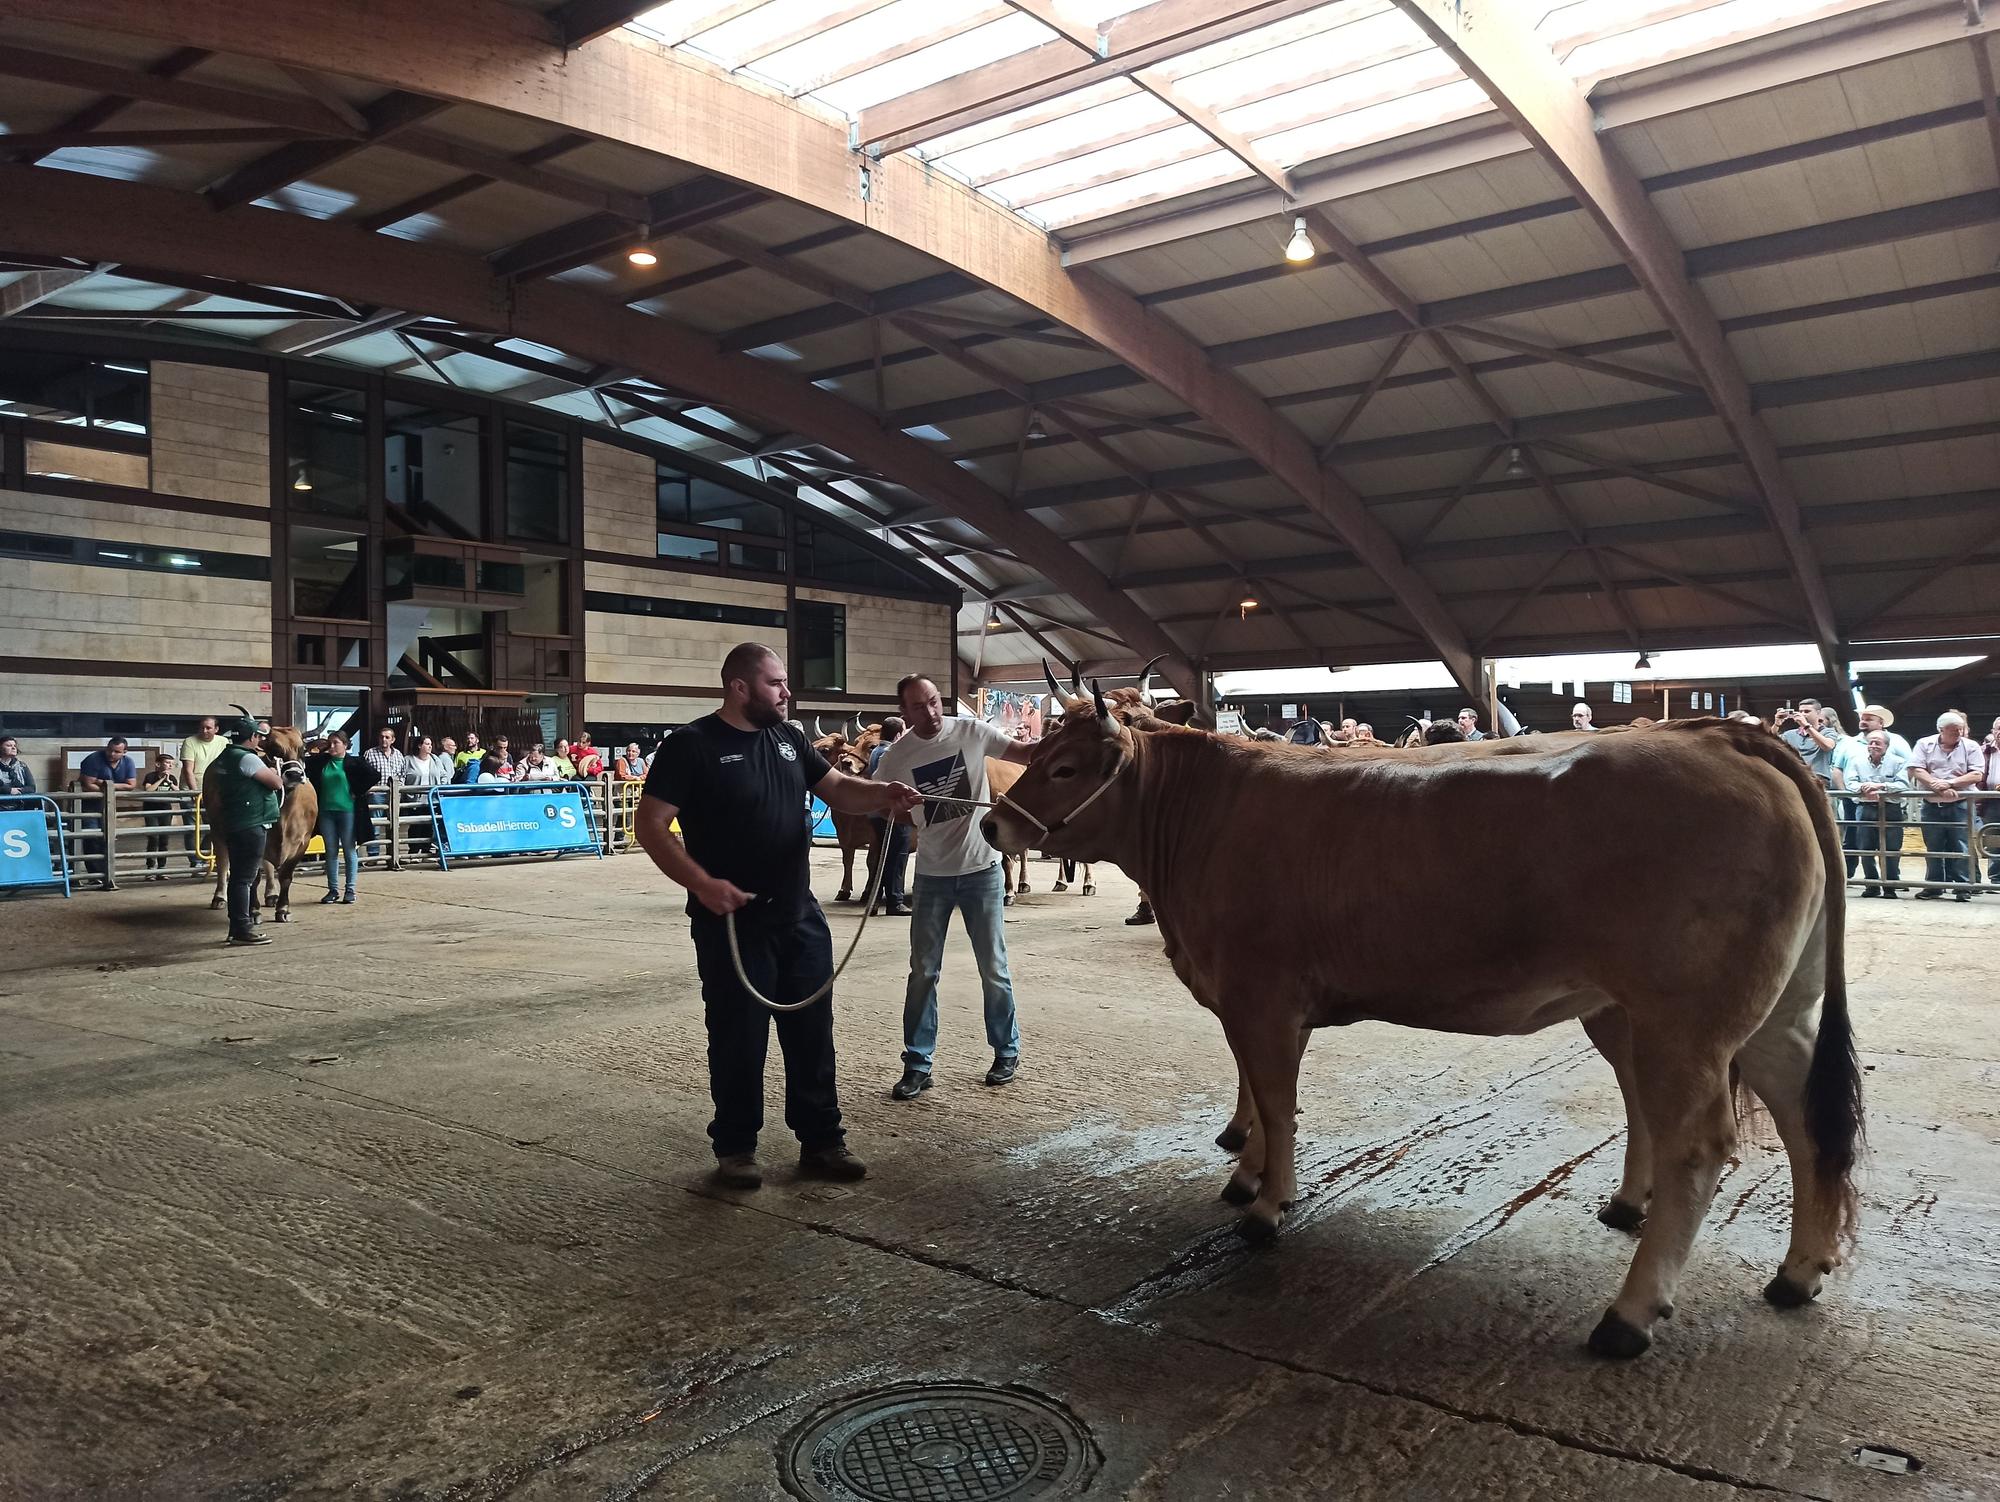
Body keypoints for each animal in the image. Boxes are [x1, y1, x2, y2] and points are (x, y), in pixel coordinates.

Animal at [203, 724, 316, 924]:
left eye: (302, 750)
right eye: (274, 750)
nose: (295, 774)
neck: (285, 816)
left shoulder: (303, 842)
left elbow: (286, 876)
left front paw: (283, 909)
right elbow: (253, 878)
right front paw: (254, 911)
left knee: (268, 866)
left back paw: (272, 895)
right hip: (216, 829)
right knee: (223, 863)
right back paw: (219, 897)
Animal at [984, 708, 1856, 1360]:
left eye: (1066, 768)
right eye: (1036, 752)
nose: (992, 824)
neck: (1205, 816)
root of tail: (1725, 736)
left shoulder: (1261, 994)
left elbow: (1275, 1098)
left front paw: (1265, 1209)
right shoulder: (1247, 998)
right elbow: (1264, 1098)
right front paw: (1251, 1176)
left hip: (1686, 1020)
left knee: (1700, 1146)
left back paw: (1628, 1316)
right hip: (1766, 1012)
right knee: (1804, 1118)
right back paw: (1796, 1273)